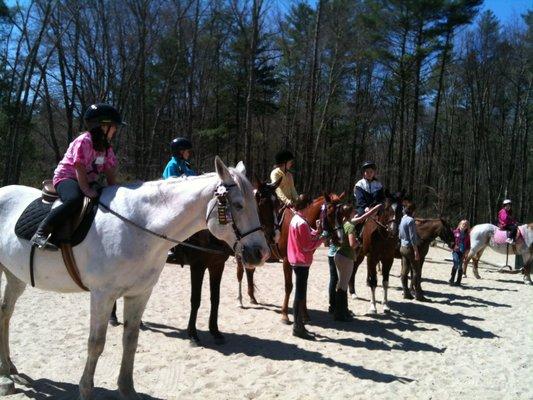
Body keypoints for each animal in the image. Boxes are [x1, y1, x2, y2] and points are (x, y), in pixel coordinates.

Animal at [0, 159, 268, 400]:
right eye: (238, 205)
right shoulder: (102, 295)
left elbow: (131, 339)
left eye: (256, 204)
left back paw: (7, 370)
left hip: (15, 276)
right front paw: (86, 390)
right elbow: (96, 343)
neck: (136, 225)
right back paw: (5, 378)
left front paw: (127, 389)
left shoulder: (139, 293)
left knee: (5, 313)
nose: (261, 253)